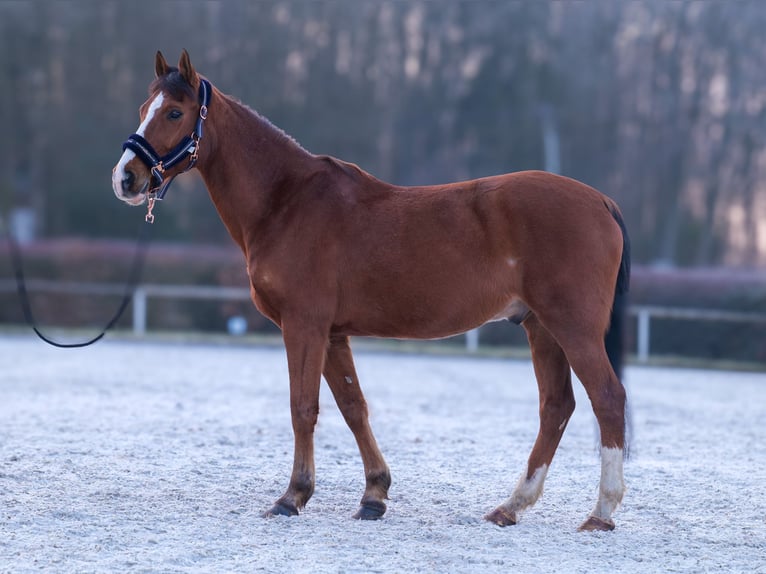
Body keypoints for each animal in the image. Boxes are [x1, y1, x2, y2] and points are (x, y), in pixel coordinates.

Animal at [111, 51, 632, 532]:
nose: (126, 178)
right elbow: (352, 407)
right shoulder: (333, 333)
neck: (286, 201)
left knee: (607, 397)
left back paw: (601, 512)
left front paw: (292, 497)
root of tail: (601, 201)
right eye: (142, 106)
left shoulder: (304, 325)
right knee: (556, 407)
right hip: (541, 328)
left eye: (174, 112)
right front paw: (374, 495)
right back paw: (511, 506)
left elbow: (304, 408)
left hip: (572, 327)